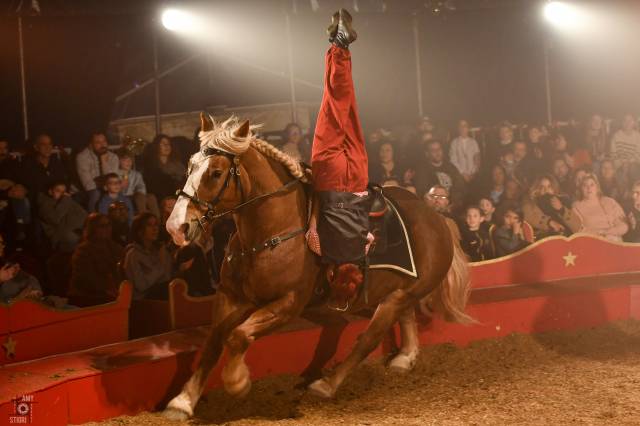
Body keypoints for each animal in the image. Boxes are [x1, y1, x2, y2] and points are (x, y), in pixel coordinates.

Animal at [160, 113, 470, 420]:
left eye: (216, 173)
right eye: (190, 165)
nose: (177, 227)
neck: (272, 233)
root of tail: (437, 217)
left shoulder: (287, 304)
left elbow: (238, 336)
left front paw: (237, 382)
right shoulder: (230, 297)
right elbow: (214, 341)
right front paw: (183, 401)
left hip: (397, 297)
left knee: (369, 338)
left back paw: (327, 384)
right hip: (395, 292)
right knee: (405, 316)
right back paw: (405, 357)